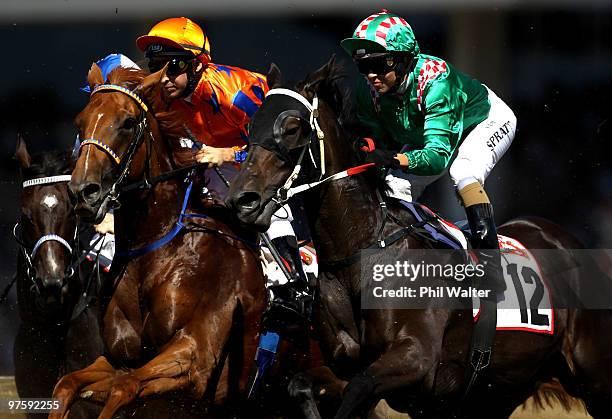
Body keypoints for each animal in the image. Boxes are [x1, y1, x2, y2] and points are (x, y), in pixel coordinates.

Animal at [50, 64, 266, 418]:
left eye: (128, 122)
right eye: (80, 123)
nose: (83, 192)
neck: (161, 247)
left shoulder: (196, 358)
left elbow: (125, 387)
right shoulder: (120, 357)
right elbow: (69, 384)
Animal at [227, 56, 612, 419]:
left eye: (292, 127)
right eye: (251, 124)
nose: (242, 200)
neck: (364, 250)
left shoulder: (416, 360)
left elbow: (359, 388)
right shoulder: (345, 359)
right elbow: (301, 384)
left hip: (594, 376)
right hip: (498, 390)